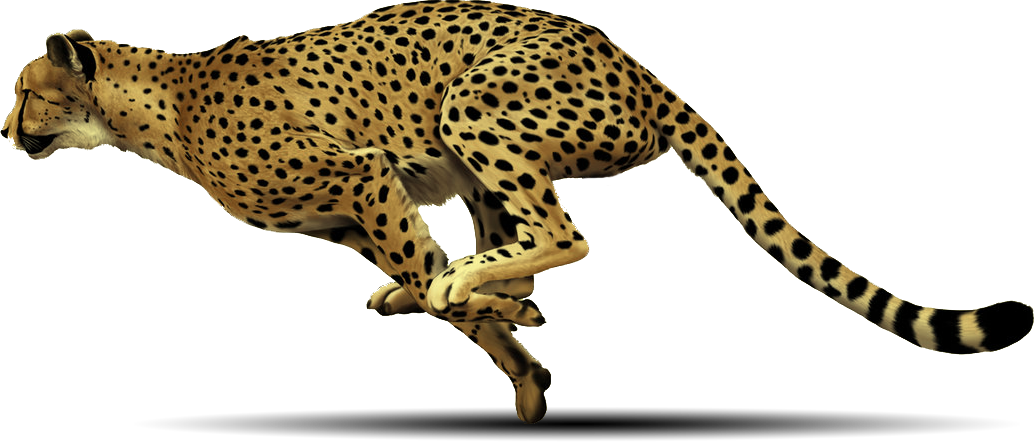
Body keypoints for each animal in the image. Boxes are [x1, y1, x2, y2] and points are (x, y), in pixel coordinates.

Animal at [4, 0, 1032, 424]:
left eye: (26, 91)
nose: (6, 132)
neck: (151, 107)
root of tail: (639, 67)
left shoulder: (364, 178)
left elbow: (437, 283)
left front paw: (498, 333)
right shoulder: (354, 212)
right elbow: (436, 286)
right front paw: (517, 350)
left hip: (475, 105)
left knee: (563, 236)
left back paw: (477, 281)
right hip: (476, 157)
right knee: (514, 236)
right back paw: (485, 287)